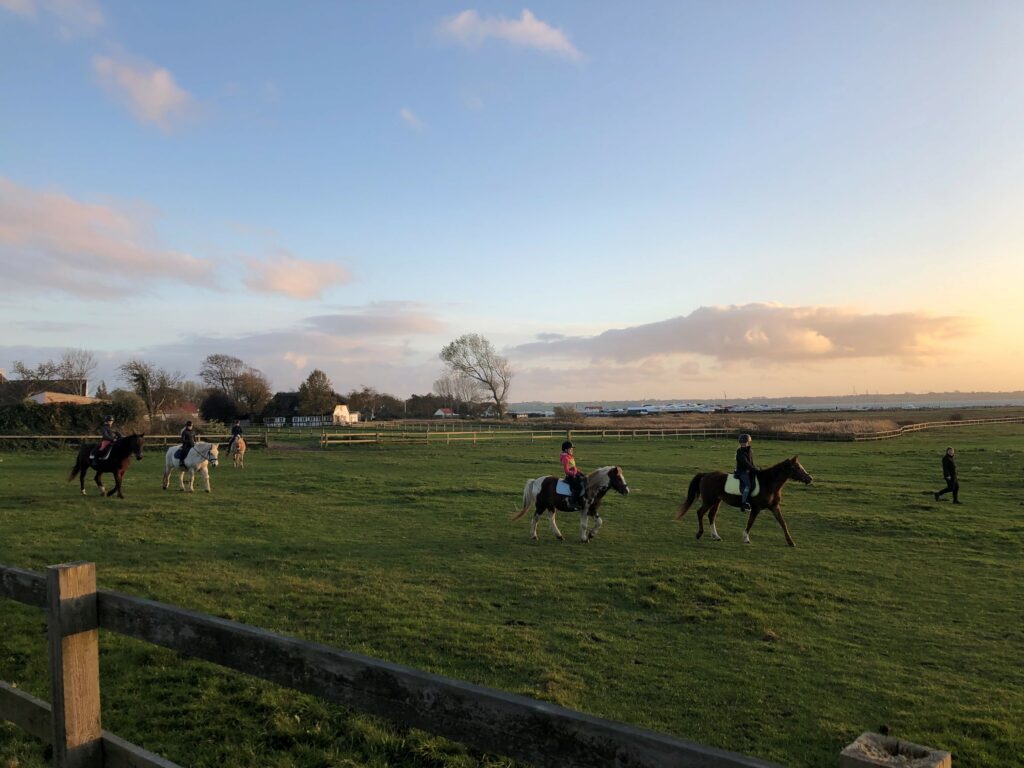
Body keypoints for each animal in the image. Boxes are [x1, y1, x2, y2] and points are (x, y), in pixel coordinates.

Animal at [675, 456, 811, 548]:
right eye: (796, 468)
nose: (810, 478)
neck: (768, 483)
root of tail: (706, 475)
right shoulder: (756, 508)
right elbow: (750, 522)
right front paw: (746, 538)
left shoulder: (774, 507)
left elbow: (783, 523)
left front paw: (790, 542)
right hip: (709, 501)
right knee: (700, 513)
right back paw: (699, 534)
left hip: (717, 501)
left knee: (711, 516)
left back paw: (716, 536)